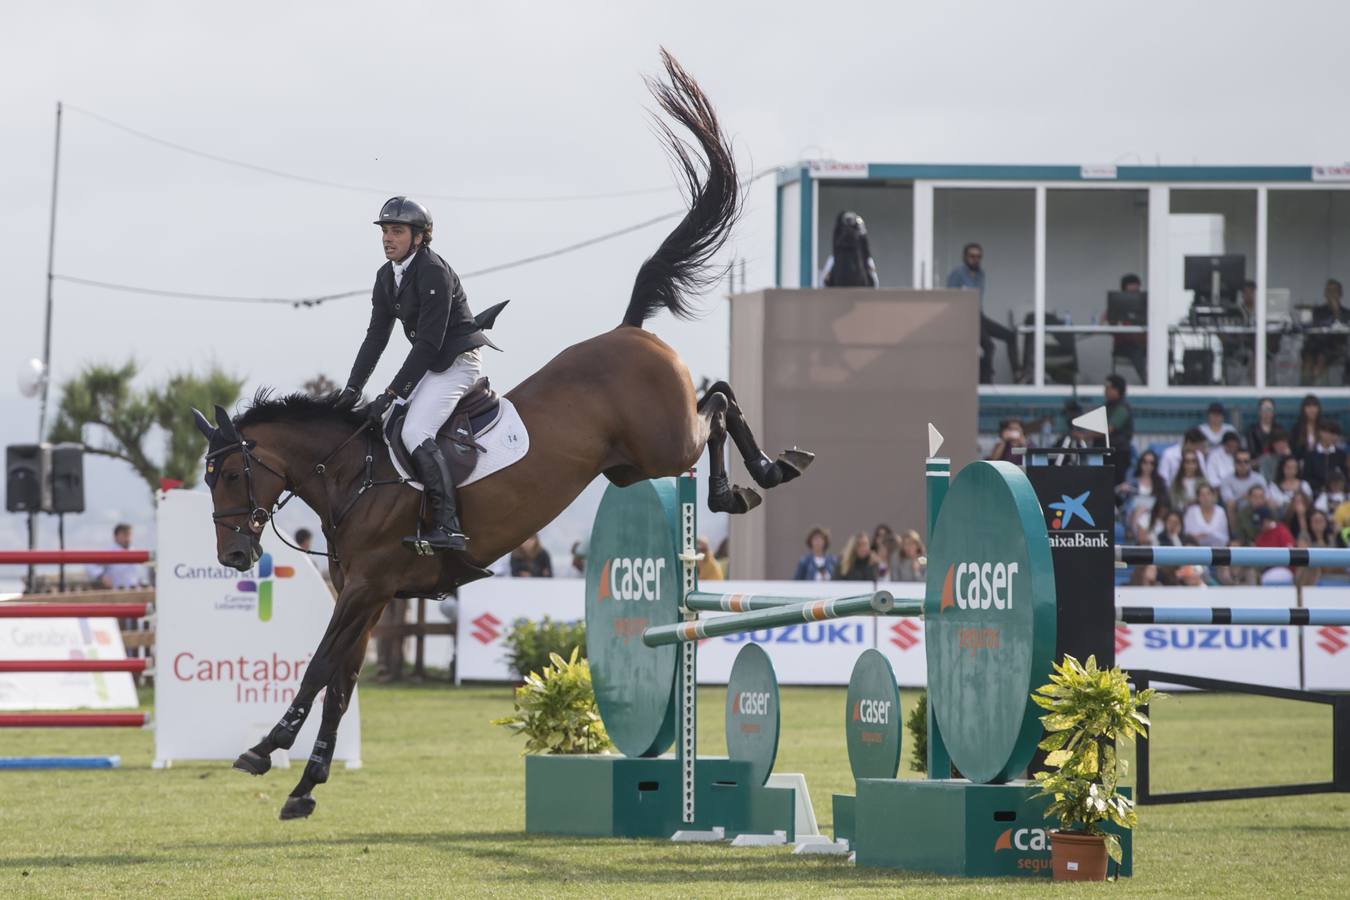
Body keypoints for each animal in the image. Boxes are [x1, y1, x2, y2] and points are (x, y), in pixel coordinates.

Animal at [194, 50, 810, 825]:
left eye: (232, 475)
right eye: (207, 479)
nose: (235, 554)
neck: (349, 474)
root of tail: (630, 331)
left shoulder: (365, 586)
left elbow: (317, 669)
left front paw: (262, 751)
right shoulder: (371, 595)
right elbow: (340, 683)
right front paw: (306, 786)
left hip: (668, 444)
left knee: (720, 404)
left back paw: (754, 479)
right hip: (631, 465)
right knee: (718, 397)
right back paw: (760, 476)